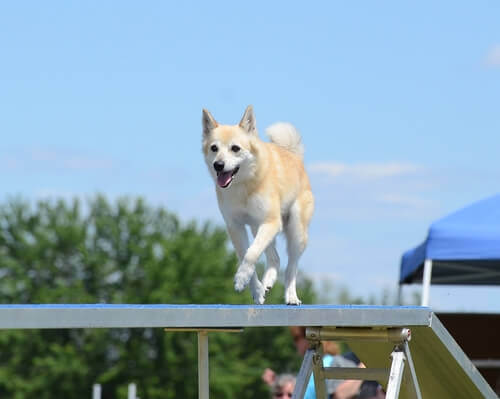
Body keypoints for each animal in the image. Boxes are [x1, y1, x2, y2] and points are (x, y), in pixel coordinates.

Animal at [202, 106, 312, 306]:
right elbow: (245, 256)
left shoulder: (270, 222)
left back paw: (291, 296)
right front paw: (255, 289)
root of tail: (293, 155)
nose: (218, 165)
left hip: (296, 232)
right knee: (275, 258)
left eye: (235, 148)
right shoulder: (235, 226)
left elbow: (251, 254)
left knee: (291, 267)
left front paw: (240, 279)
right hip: (256, 228)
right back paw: (266, 283)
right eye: (214, 148)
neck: (244, 184)